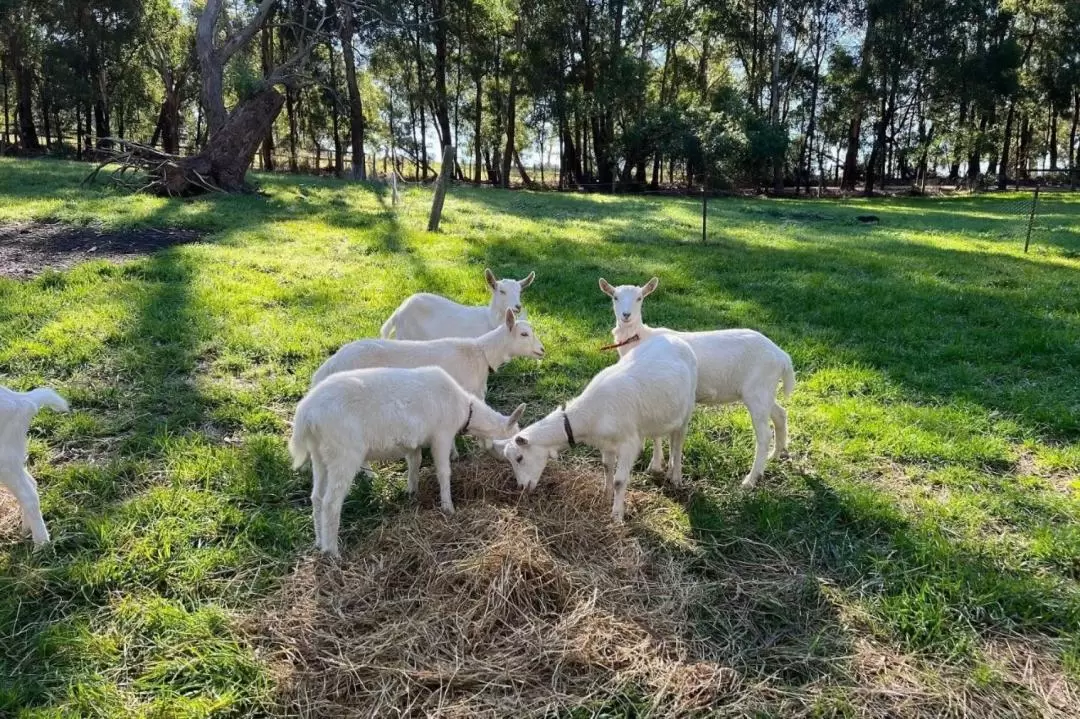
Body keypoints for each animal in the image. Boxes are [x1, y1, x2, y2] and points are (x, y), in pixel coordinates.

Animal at [0, 386, 69, 544]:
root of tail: (24, 401)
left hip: (5, 460)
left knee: (29, 495)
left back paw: (41, 544)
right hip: (12, 459)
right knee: (31, 483)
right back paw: (26, 530)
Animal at [287, 364, 522, 552]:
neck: (464, 408)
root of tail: (306, 415)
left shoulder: (414, 443)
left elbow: (414, 463)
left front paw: (412, 491)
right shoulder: (442, 435)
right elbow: (443, 472)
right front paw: (448, 507)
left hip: (320, 454)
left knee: (317, 497)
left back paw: (319, 542)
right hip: (343, 453)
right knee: (331, 502)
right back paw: (332, 551)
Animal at [380, 267, 535, 341]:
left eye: (520, 291)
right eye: (502, 291)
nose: (517, 307)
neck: (490, 320)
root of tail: (399, 310)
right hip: (407, 335)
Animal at [498, 332, 695, 518]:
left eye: (519, 458)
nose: (522, 487)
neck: (592, 414)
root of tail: (677, 340)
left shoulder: (629, 444)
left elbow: (619, 481)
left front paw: (617, 515)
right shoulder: (606, 445)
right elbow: (607, 468)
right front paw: (605, 497)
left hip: (687, 411)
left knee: (678, 444)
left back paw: (676, 477)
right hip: (659, 414)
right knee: (660, 436)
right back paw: (658, 467)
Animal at [600, 274, 794, 487]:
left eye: (639, 298)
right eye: (615, 297)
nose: (626, 315)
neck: (640, 338)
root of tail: (782, 356)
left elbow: (657, 434)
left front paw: (655, 466)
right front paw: (658, 463)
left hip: (757, 391)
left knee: (764, 435)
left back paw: (750, 480)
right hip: (764, 390)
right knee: (780, 414)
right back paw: (774, 456)